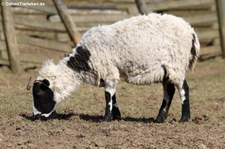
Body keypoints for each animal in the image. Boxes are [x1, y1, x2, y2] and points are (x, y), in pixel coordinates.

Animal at [30, 12, 200, 122]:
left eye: (38, 94)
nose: (36, 117)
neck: (86, 57)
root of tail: (191, 31)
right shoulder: (109, 73)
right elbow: (113, 94)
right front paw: (116, 116)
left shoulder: (108, 70)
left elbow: (108, 95)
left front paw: (106, 118)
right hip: (166, 69)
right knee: (169, 91)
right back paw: (159, 118)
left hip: (176, 64)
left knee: (183, 88)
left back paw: (184, 118)